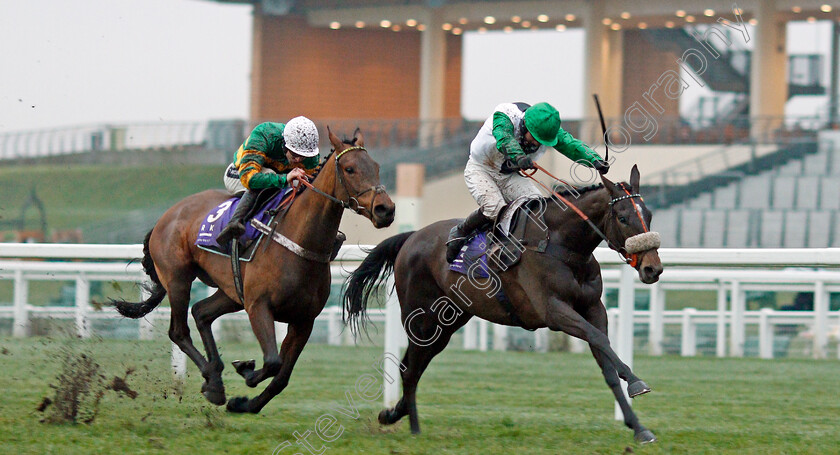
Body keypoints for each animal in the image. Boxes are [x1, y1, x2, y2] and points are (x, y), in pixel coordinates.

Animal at [110, 127, 394, 414]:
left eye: (377, 167)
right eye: (349, 169)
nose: (386, 209)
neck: (299, 241)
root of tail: (166, 216)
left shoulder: (304, 320)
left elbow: (281, 376)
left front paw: (245, 403)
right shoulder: (259, 306)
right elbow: (272, 362)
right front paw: (245, 371)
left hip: (232, 292)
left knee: (201, 312)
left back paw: (215, 375)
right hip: (178, 279)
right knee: (179, 331)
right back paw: (213, 382)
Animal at [342, 166, 664, 444]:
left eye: (648, 214)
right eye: (623, 217)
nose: (653, 269)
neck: (559, 244)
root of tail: (411, 237)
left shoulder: (594, 308)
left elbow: (605, 359)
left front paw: (639, 427)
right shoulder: (553, 310)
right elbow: (598, 339)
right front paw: (636, 382)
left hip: (448, 323)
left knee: (414, 366)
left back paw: (394, 414)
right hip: (422, 320)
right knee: (410, 369)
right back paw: (414, 427)